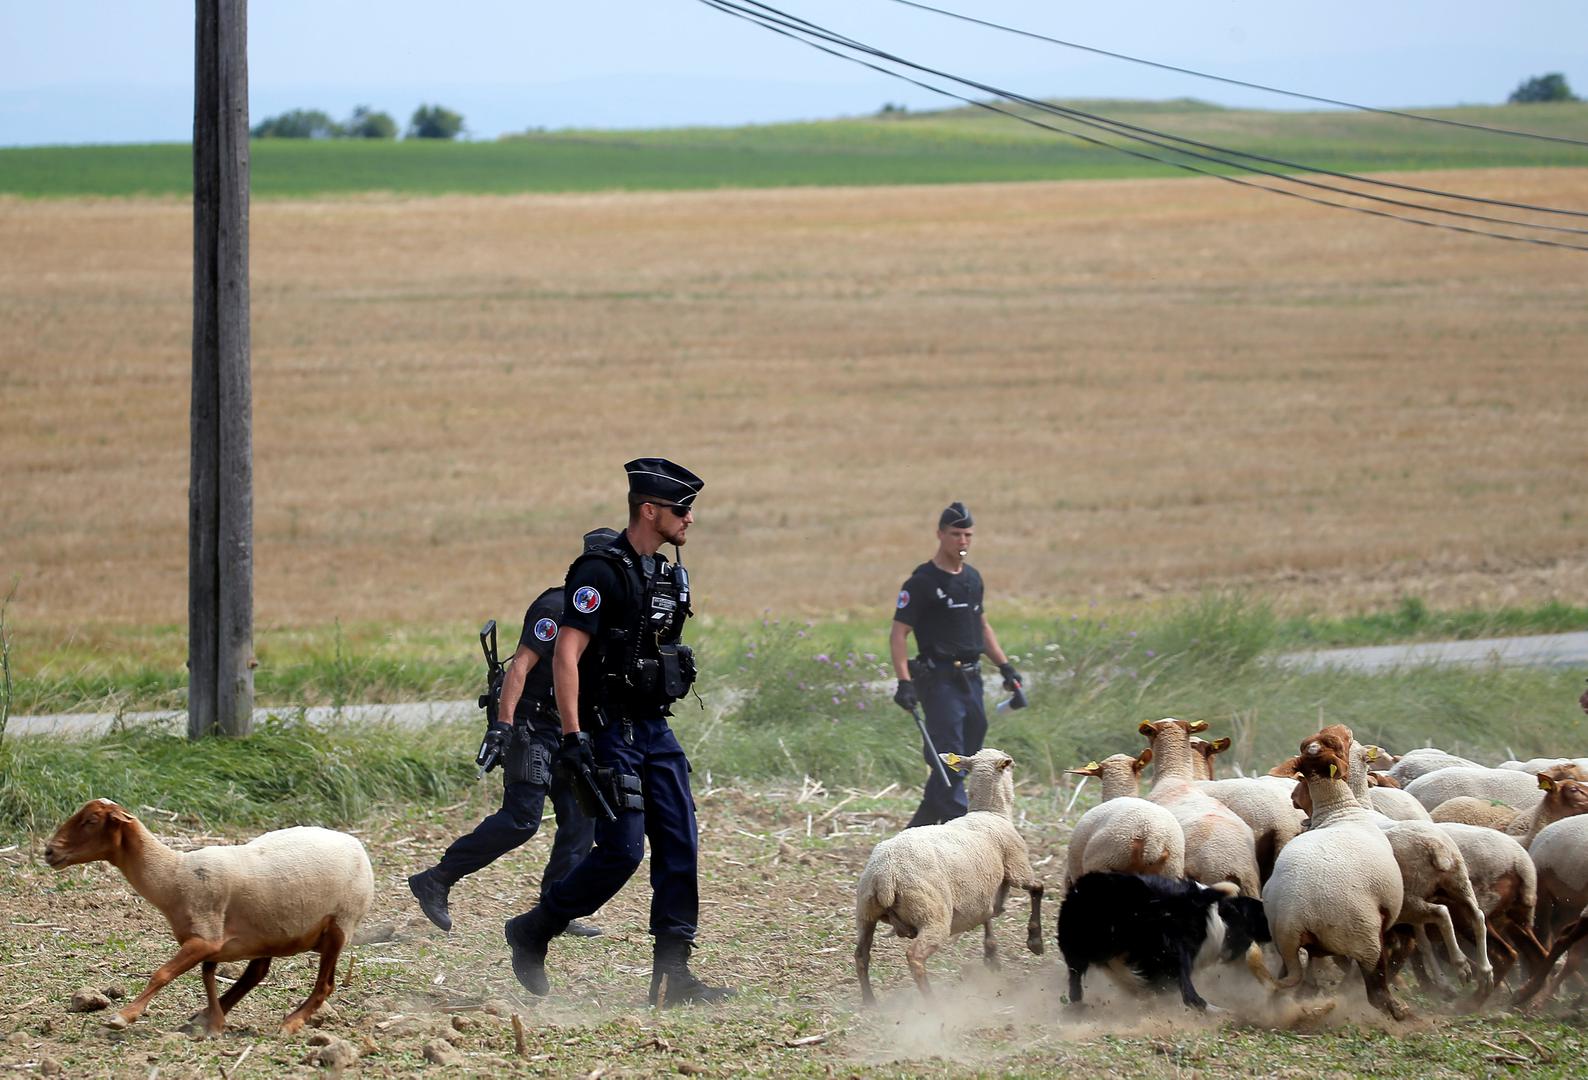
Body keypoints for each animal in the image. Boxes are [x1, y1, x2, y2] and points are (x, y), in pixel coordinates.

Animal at [45, 800, 373, 1035]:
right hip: (269, 929)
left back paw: (290, 1023)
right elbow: (207, 975)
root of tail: (357, 844)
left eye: (90, 821)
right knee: (256, 974)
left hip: (338, 925)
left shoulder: (205, 937)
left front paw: (123, 1016)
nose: (49, 851)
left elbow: (163, 974)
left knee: (324, 986)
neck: (173, 874)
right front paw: (212, 1021)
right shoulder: (212, 941)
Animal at [857, 746, 1041, 997]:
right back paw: (932, 1002)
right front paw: (1035, 942)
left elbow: (988, 916)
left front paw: (991, 956)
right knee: (914, 956)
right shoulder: (1017, 867)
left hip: (865, 912)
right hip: (932, 914)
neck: (990, 811)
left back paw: (869, 1001)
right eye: (1010, 765)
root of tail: (885, 874)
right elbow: (1037, 889)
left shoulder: (982, 891)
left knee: (861, 956)